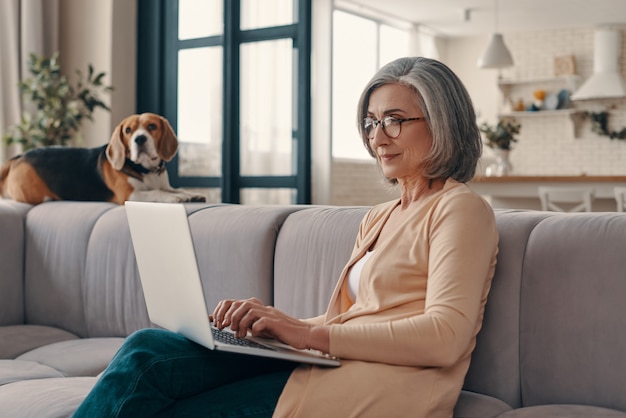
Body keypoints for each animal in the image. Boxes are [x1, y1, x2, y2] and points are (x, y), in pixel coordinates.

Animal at [0, 112, 206, 205]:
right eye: (128, 130)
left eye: (152, 126)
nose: (139, 139)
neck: (146, 170)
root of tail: (20, 156)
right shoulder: (129, 195)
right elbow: (156, 193)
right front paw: (178, 197)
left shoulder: (164, 184)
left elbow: (171, 189)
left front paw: (190, 194)